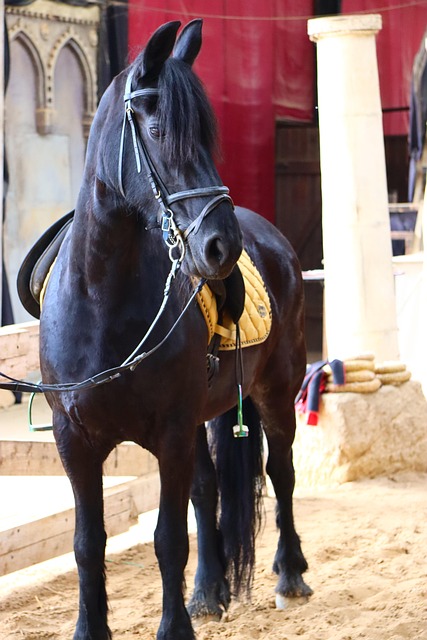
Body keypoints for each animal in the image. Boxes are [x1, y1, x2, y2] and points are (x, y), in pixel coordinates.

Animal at [37, 19, 312, 640]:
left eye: (208, 138)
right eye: (159, 131)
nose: (221, 247)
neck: (103, 302)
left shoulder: (169, 431)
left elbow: (167, 540)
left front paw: (175, 626)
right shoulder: (74, 439)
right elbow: (88, 543)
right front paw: (92, 627)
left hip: (275, 392)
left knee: (281, 472)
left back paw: (290, 575)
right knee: (208, 491)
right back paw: (209, 591)